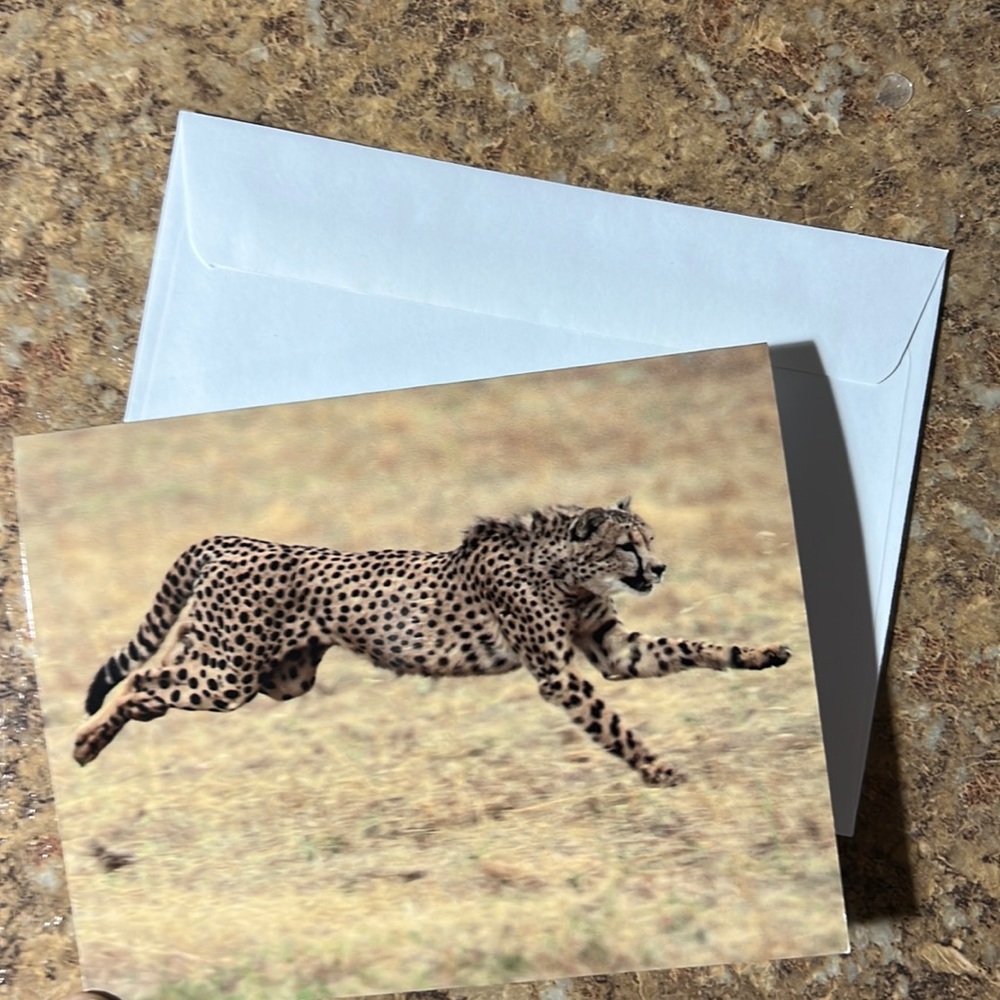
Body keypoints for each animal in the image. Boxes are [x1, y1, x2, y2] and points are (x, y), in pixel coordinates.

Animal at [74, 498, 791, 785]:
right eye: (627, 546)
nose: (660, 568)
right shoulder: (560, 674)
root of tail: (233, 539)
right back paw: (84, 743)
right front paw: (660, 771)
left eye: (649, 540)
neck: (563, 570)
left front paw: (763, 655)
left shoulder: (614, 652)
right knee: (140, 677)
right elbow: (616, 727)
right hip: (230, 676)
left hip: (272, 676)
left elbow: (695, 648)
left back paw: (99, 738)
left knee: (155, 676)